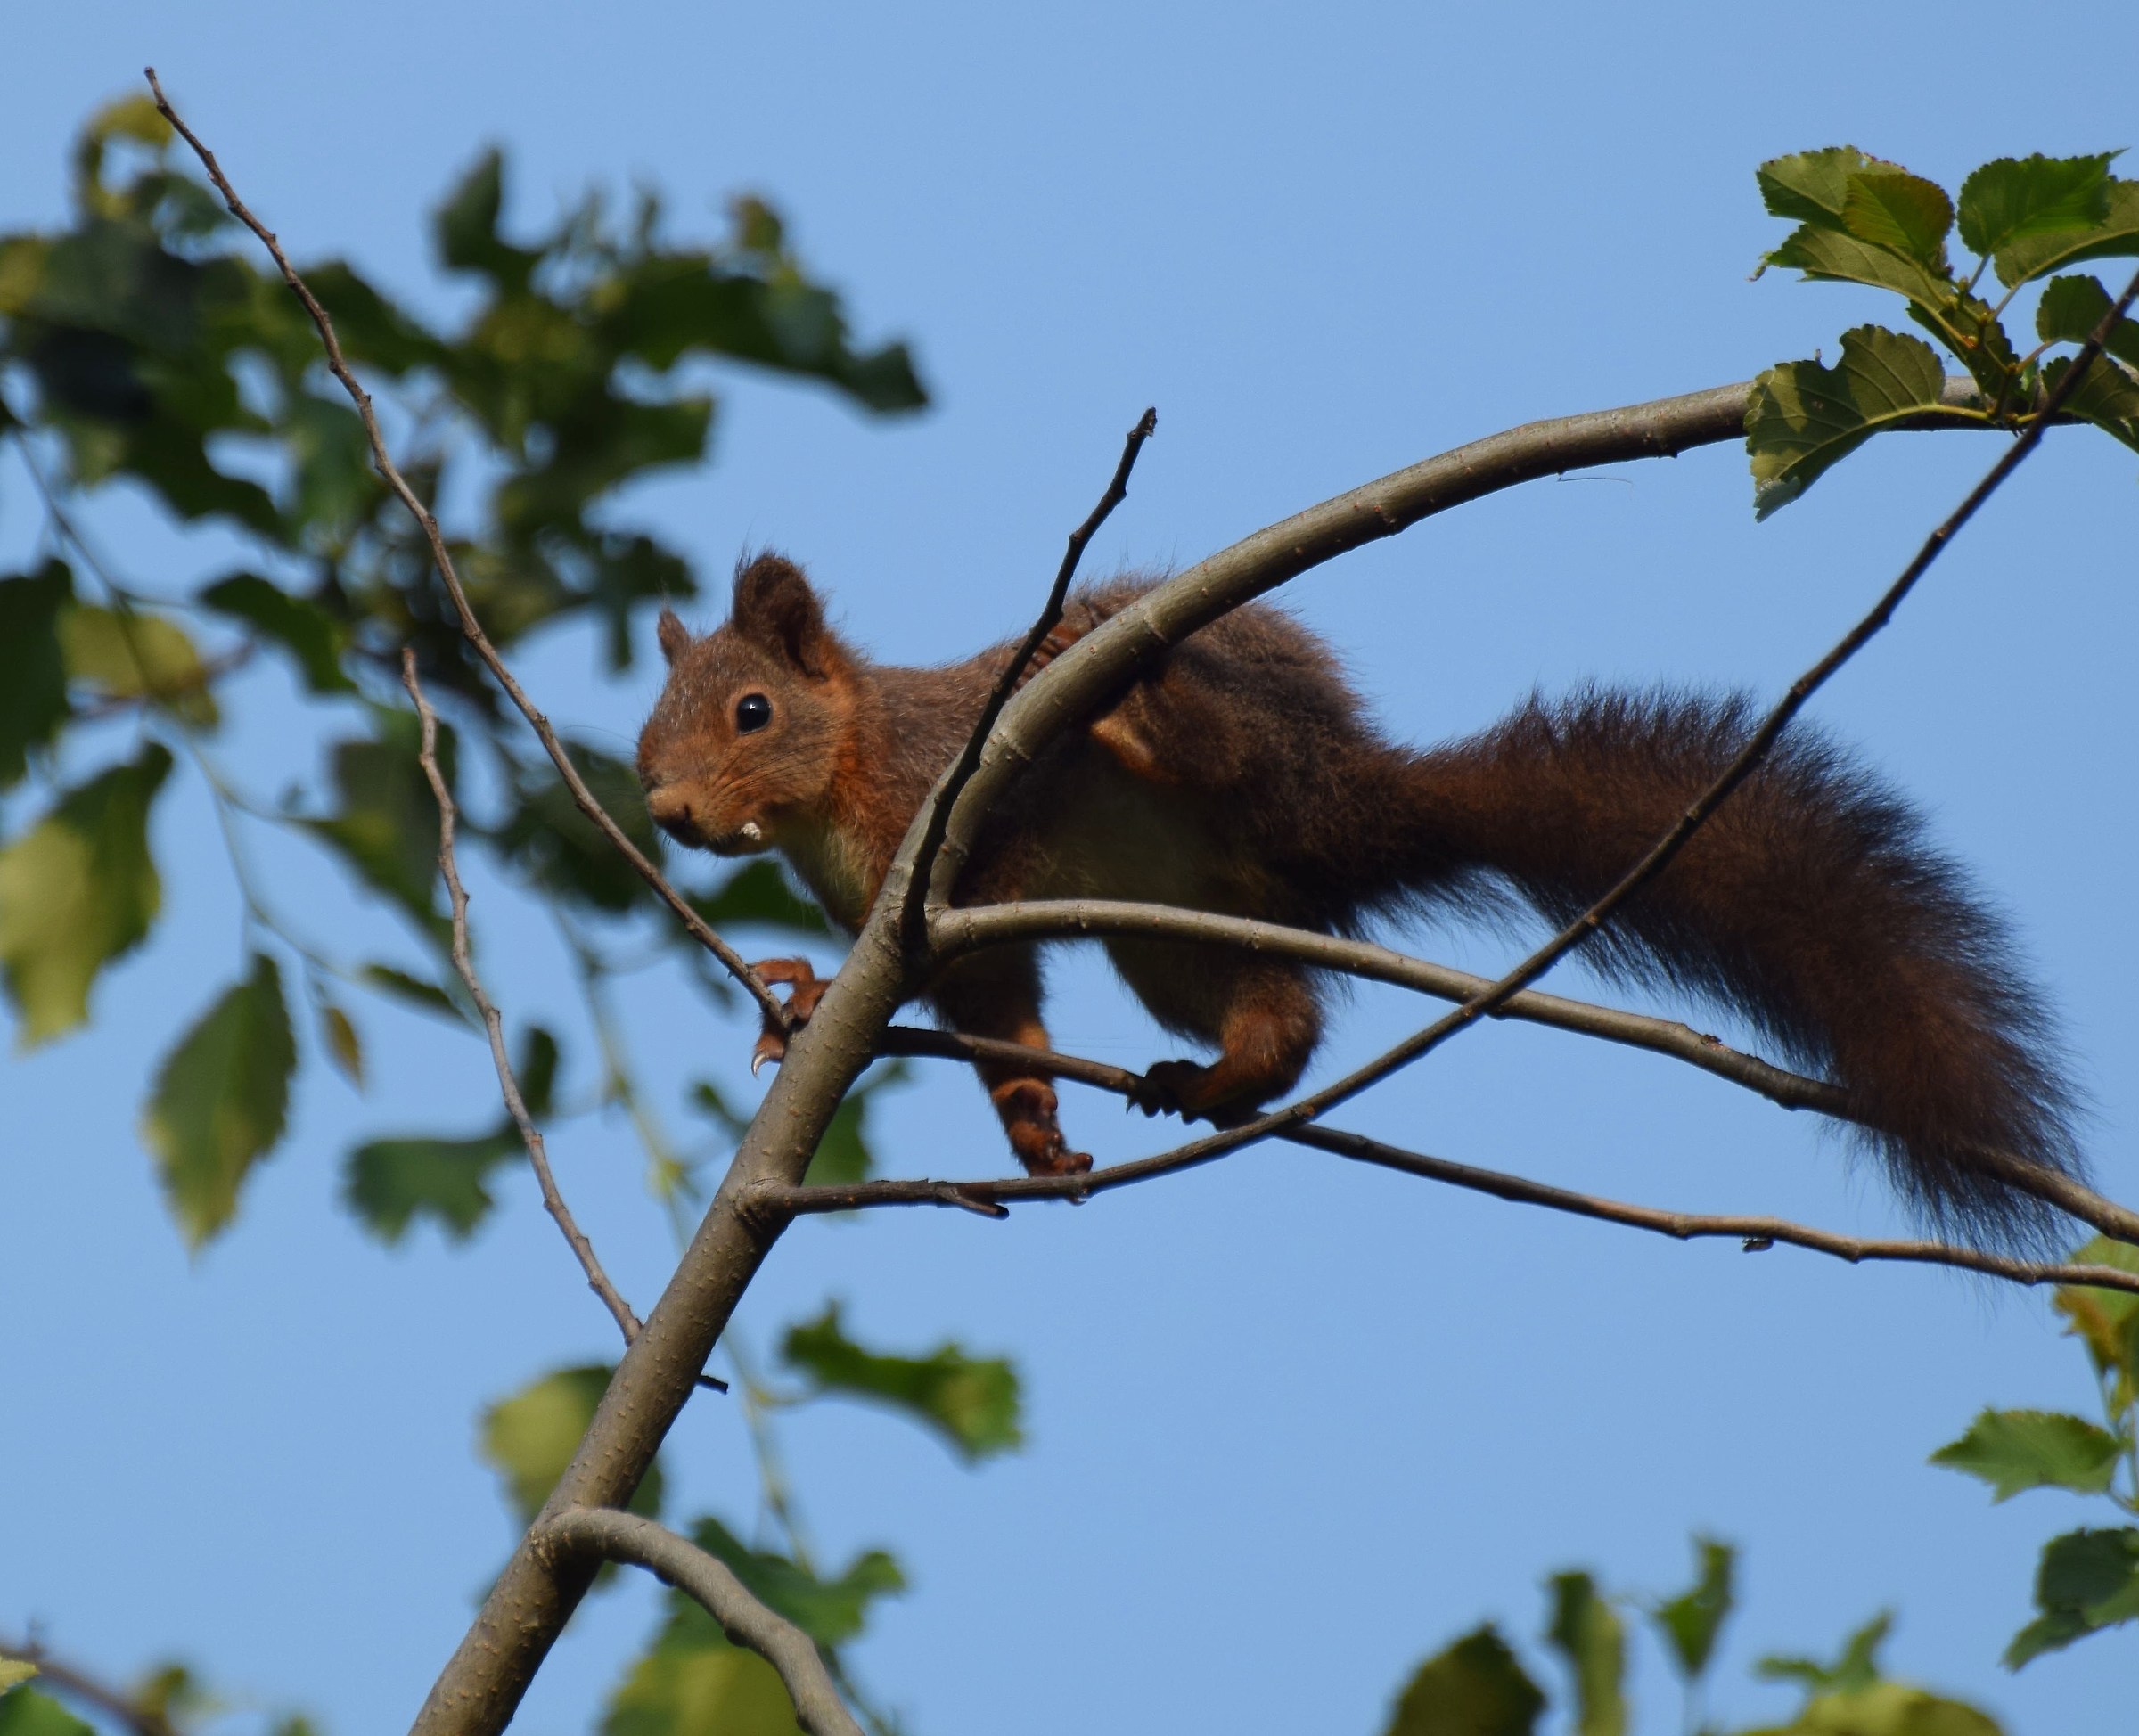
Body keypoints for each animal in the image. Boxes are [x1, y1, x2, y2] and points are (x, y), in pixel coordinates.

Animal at [636, 551, 2083, 1241]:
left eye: (752, 710)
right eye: (647, 731)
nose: (664, 813)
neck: (849, 775)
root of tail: (1353, 799)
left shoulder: (945, 819)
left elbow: (963, 926)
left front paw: (816, 989)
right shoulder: (975, 961)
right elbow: (1006, 1035)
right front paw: (1030, 1136)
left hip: (1250, 769)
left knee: (1214, 757)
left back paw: (1121, 702)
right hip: (1184, 940)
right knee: (1288, 1018)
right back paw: (1220, 1081)